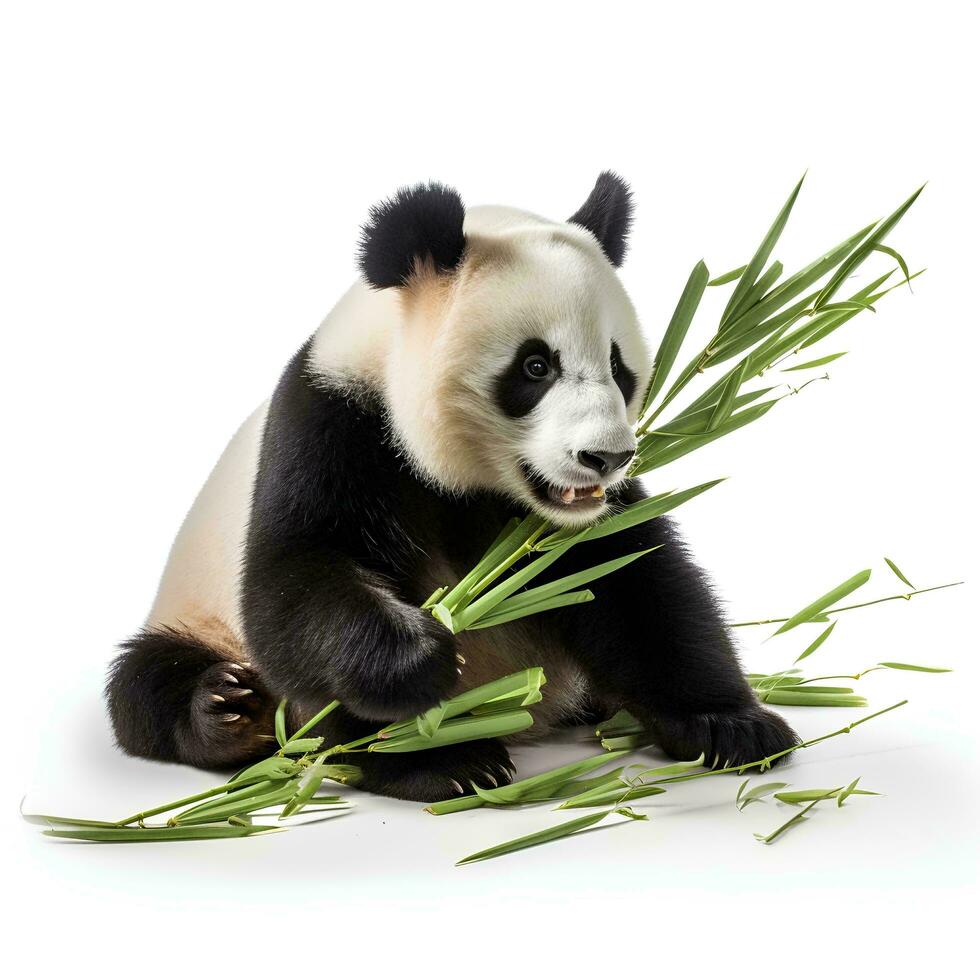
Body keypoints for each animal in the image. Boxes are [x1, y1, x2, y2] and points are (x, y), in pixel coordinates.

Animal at [107, 174, 796, 804]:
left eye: (617, 365)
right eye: (535, 366)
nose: (606, 457)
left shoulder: (566, 526)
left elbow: (640, 587)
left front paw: (733, 727)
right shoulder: (333, 424)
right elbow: (294, 583)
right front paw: (427, 736)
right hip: (194, 613)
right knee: (146, 684)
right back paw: (231, 712)